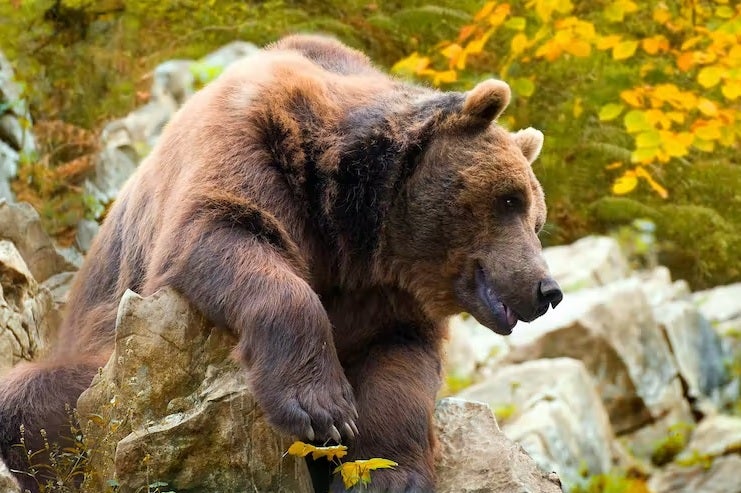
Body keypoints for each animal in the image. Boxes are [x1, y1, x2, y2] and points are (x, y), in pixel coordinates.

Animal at [0, 34, 562, 493]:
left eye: (536, 219)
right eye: (508, 200)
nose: (547, 289)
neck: (354, 231)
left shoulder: (389, 296)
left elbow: (401, 367)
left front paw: (386, 473)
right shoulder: (253, 143)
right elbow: (225, 233)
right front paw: (322, 409)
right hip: (104, 368)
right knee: (34, 400)